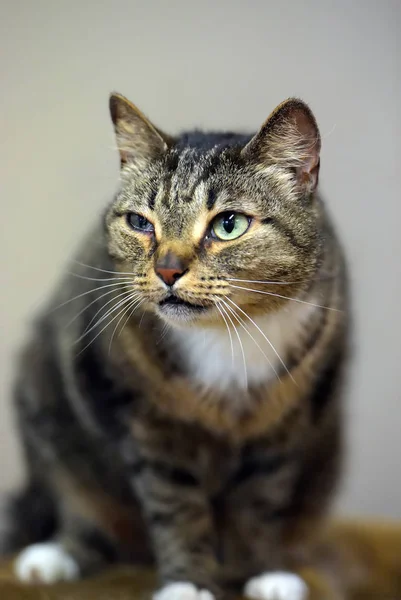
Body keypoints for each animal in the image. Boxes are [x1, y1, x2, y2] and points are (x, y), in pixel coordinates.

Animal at [0, 94, 346, 600]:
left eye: (228, 224)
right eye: (139, 223)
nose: (166, 270)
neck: (225, 336)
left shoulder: (285, 425)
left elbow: (261, 502)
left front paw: (263, 573)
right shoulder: (147, 419)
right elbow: (175, 504)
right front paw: (188, 584)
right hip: (50, 412)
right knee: (81, 505)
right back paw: (54, 557)